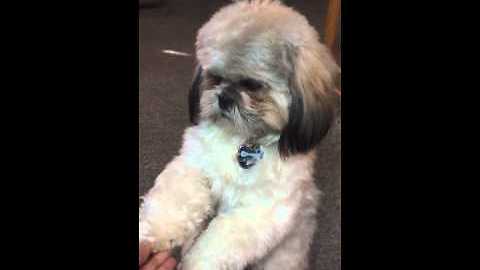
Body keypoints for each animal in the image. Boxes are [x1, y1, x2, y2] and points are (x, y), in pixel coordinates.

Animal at [141, 1, 340, 268]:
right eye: (215, 78)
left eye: (253, 85)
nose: (224, 97)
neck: (243, 140)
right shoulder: (193, 165)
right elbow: (175, 199)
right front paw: (157, 230)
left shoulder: (262, 209)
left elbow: (218, 243)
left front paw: (196, 263)